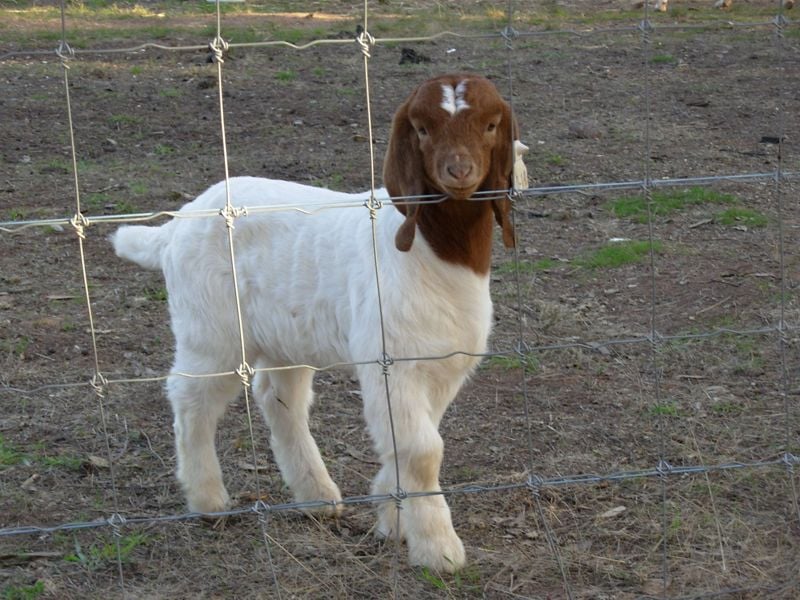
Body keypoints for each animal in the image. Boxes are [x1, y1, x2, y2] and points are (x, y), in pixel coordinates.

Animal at [111, 74, 518, 573]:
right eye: (422, 129)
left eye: (491, 124)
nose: (458, 170)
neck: (432, 252)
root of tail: (177, 224)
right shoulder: (391, 361)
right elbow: (422, 451)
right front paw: (438, 550)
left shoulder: (442, 363)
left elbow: (412, 439)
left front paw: (392, 515)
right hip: (211, 326)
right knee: (192, 397)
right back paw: (208, 500)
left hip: (286, 333)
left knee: (277, 396)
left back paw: (316, 495)